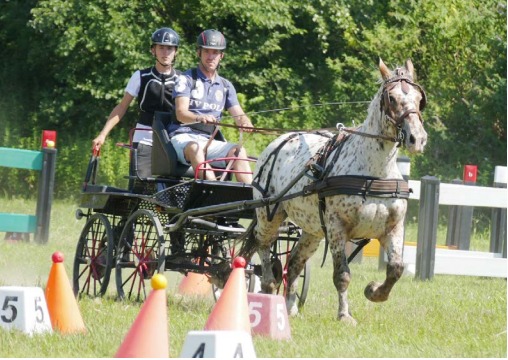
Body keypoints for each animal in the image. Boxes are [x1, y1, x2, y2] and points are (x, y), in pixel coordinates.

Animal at [240, 58, 426, 324]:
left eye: (420, 98)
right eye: (391, 98)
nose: (417, 139)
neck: (374, 171)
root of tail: (278, 142)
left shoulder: (393, 227)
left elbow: (396, 269)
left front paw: (374, 291)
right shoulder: (337, 227)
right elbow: (342, 275)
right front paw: (345, 315)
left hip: (312, 230)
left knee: (294, 262)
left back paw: (289, 307)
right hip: (269, 216)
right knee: (263, 246)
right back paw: (267, 287)